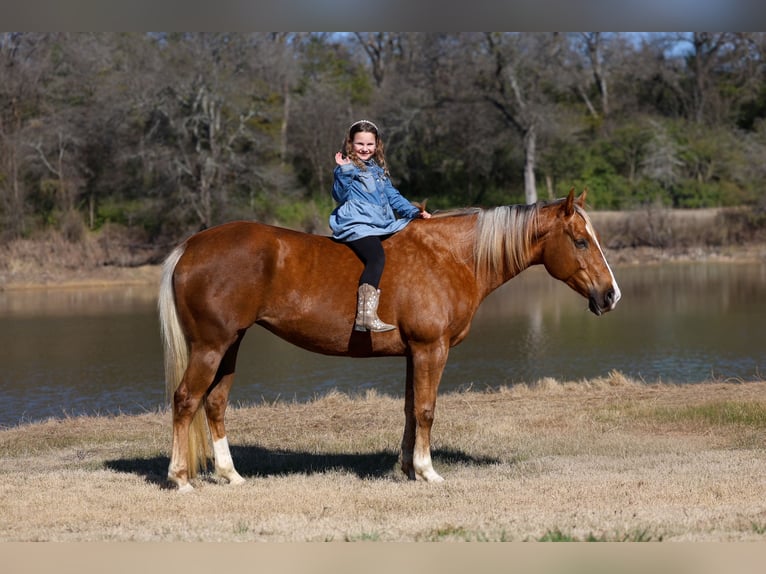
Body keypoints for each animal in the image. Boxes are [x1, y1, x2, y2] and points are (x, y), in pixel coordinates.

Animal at [158, 188, 621, 492]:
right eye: (581, 241)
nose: (611, 295)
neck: (449, 257)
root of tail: (191, 246)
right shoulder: (431, 349)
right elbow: (428, 410)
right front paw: (428, 471)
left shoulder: (414, 353)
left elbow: (410, 410)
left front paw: (407, 468)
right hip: (211, 347)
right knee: (185, 400)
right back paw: (180, 479)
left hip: (230, 345)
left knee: (214, 404)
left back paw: (230, 475)